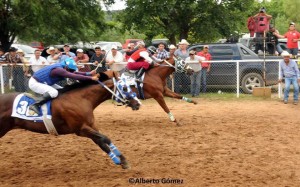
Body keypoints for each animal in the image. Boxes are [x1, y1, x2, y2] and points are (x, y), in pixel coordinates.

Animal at [0, 73, 141, 169]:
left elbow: (102, 141)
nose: (138, 103)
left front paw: (122, 160)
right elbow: (105, 138)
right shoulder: (80, 129)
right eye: (125, 88)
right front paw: (119, 160)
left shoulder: (91, 126)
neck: (81, 99)